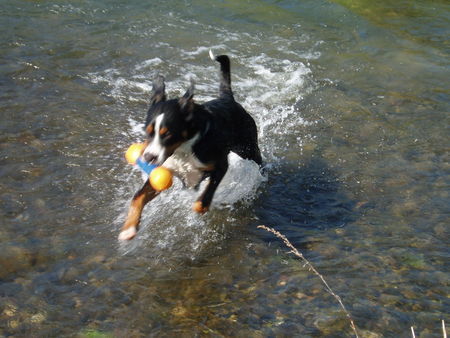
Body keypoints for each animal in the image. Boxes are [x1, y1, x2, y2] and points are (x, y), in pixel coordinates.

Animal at [118, 50, 262, 240]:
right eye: (148, 131)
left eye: (168, 134)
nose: (149, 157)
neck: (183, 150)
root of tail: (227, 98)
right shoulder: (163, 171)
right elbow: (138, 197)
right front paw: (128, 228)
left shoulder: (220, 166)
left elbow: (203, 198)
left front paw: (201, 207)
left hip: (248, 149)